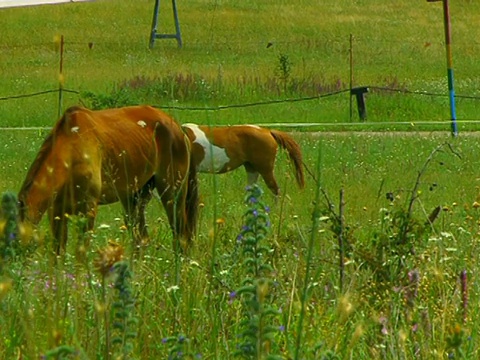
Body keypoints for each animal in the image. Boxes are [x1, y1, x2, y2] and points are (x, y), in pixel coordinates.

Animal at [16, 105, 197, 255]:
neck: (72, 149)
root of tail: (178, 128)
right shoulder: (57, 213)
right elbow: (58, 252)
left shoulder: (88, 210)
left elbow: (81, 252)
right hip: (134, 198)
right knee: (141, 240)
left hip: (172, 194)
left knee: (181, 237)